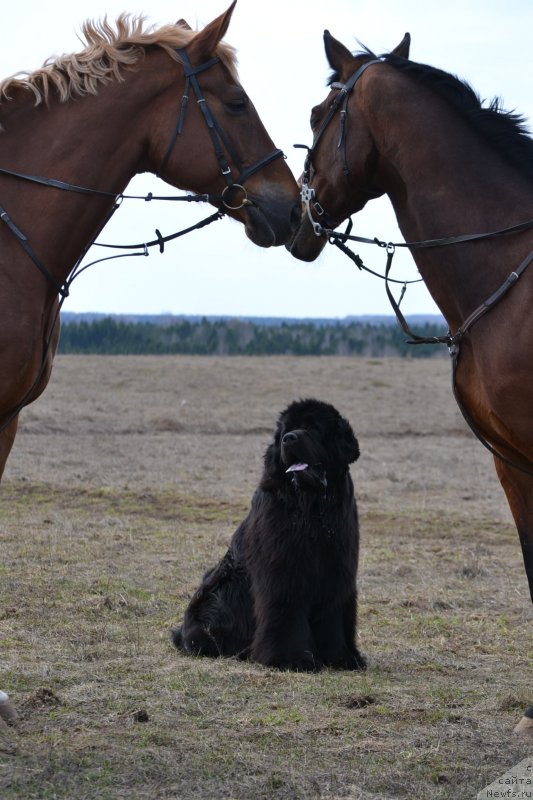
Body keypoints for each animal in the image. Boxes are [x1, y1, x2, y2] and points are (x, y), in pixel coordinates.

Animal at [172, 398, 364, 668]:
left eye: (313, 427)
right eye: (286, 430)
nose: (289, 439)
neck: (312, 508)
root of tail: (181, 632)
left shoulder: (337, 571)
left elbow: (332, 617)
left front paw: (340, 657)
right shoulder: (283, 574)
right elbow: (286, 615)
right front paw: (291, 659)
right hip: (220, 592)